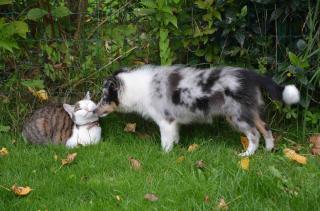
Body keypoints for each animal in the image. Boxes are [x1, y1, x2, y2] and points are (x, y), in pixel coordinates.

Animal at [95, 65, 300, 156]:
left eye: (105, 97)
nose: (95, 111)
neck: (139, 88)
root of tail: (251, 75)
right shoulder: (173, 121)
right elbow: (175, 136)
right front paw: (176, 146)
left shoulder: (165, 121)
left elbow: (165, 141)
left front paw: (165, 155)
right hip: (251, 110)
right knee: (265, 127)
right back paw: (269, 149)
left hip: (237, 115)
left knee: (254, 134)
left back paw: (247, 155)